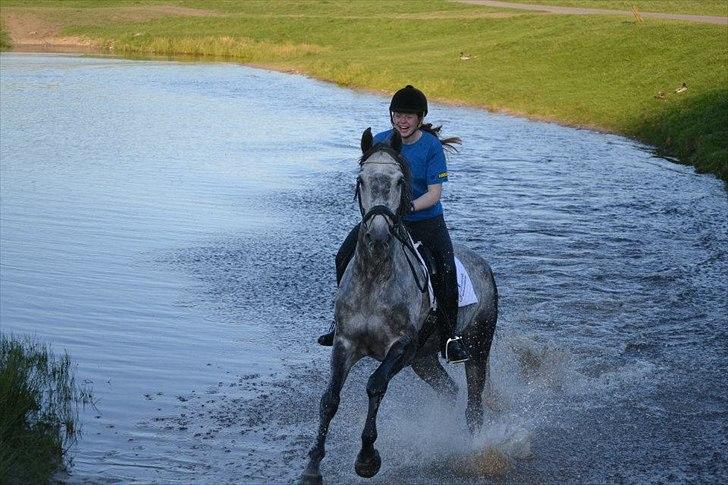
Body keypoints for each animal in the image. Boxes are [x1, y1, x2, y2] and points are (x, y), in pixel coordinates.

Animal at [298, 126, 498, 482]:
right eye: (361, 179)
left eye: (400, 181)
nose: (377, 236)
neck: (375, 276)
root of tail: (484, 266)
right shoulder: (346, 343)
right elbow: (330, 399)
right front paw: (312, 467)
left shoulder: (401, 347)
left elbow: (375, 385)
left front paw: (367, 459)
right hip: (424, 360)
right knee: (449, 391)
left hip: (477, 346)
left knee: (474, 403)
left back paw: (475, 451)